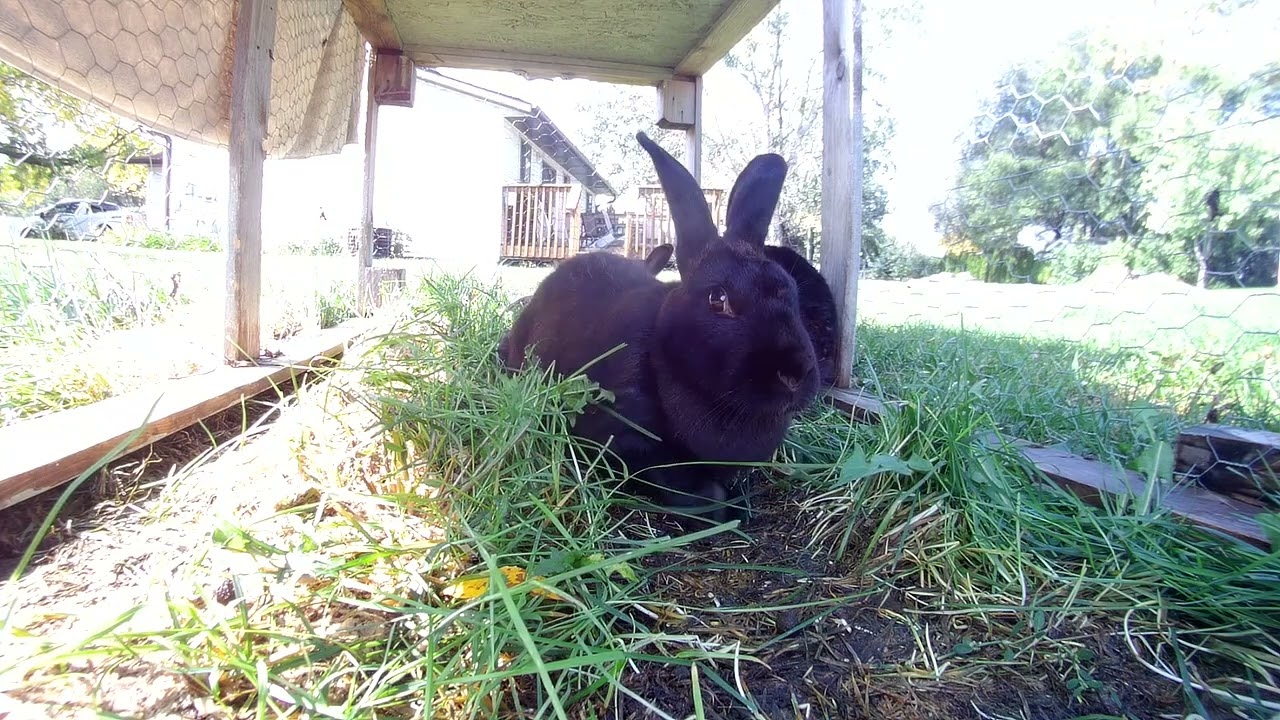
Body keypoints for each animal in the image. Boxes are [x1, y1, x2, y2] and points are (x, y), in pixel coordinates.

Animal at [499, 132, 820, 522]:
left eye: (791, 289)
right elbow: (688, 485)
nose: (794, 373)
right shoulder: (625, 435)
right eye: (718, 299)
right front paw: (726, 508)